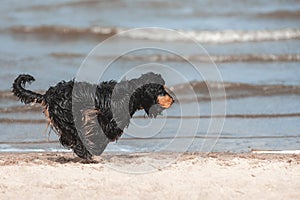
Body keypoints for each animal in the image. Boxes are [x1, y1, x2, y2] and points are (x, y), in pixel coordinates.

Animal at [12, 72, 173, 160]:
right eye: (161, 90)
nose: (173, 100)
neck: (132, 93)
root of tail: (48, 95)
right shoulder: (107, 121)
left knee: (68, 137)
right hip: (69, 117)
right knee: (74, 136)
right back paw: (84, 152)